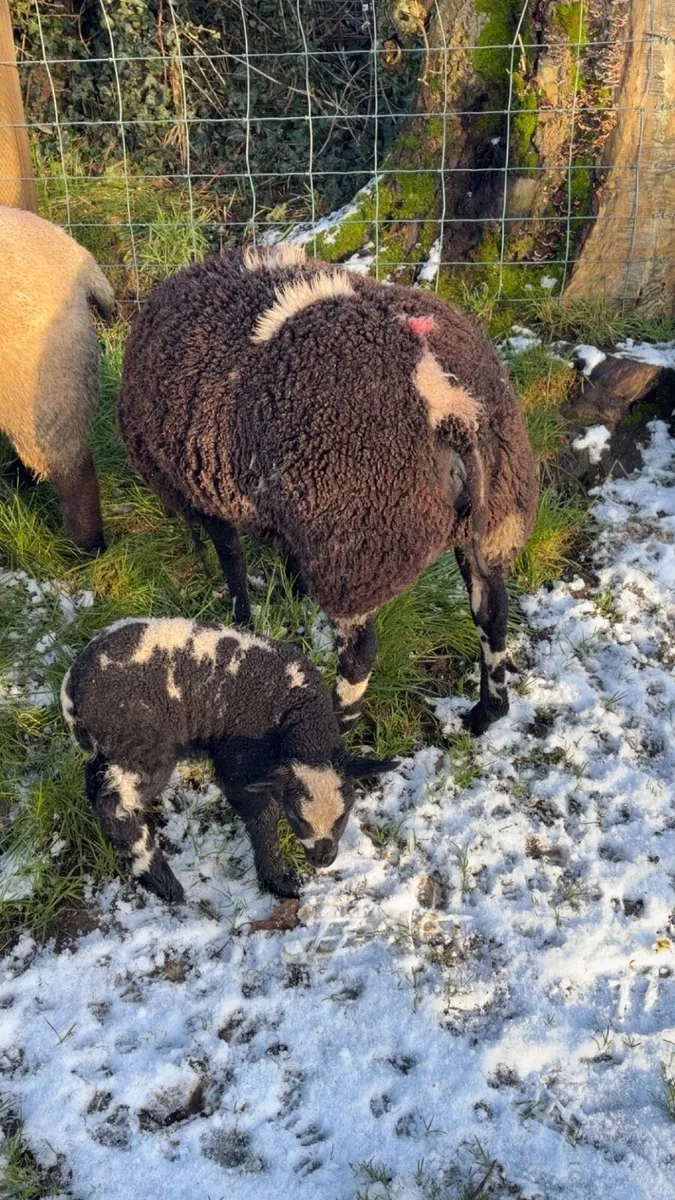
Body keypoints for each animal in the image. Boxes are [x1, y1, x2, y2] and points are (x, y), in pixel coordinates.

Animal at [61, 616, 395, 901]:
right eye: (297, 817)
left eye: (344, 815)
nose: (323, 858)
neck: (296, 711)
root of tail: (72, 688)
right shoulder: (238, 758)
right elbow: (263, 812)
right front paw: (277, 879)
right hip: (140, 740)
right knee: (115, 805)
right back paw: (163, 883)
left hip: (111, 746)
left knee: (94, 783)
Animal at [117, 243, 538, 736]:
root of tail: (448, 402)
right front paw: (294, 591)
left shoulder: (204, 497)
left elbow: (232, 562)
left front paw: (240, 618)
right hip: (495, 518)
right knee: (492, 612)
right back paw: (487, 712)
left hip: (355, 547)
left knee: (360, 652)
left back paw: (338, 720)